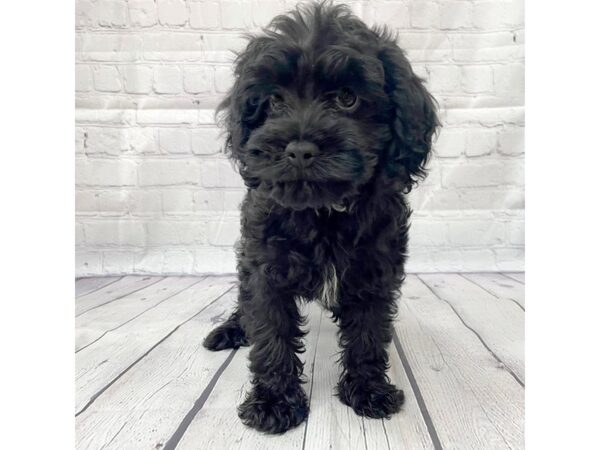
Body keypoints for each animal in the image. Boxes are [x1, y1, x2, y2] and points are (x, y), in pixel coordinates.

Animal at [204, 1, 438, 434]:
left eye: (347, 98)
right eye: (274, 100)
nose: (299, 149)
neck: (323, 212)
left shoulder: (375, 268)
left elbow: (367, 333)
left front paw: (369, 390)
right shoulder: (264, 267)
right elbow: (270, 331)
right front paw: (274, 402)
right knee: (244, 301)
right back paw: (230, 329)